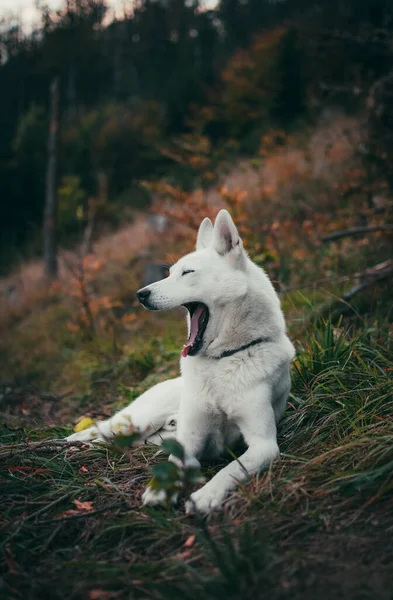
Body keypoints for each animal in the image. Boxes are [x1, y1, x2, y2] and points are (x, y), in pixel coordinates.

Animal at [66, 210, 294, 510]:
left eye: (188, 273)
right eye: (171, 272)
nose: (140, 295)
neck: (221, 361)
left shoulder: (263, 443)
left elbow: (232, 468)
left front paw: (207, 495)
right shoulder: (191, 438)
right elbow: (175, 465)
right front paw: (159, 490)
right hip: (136, 422)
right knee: (92, 430)